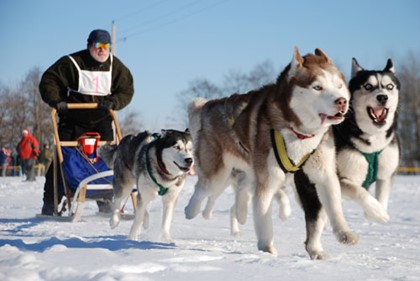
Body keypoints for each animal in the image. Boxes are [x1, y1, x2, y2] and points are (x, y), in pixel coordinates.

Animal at [184, 46, 358, 258]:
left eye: (339, 86)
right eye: (317, 87)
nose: (342, 101)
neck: (300, 133)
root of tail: (208, 105)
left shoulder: (322, 173)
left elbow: (331, 206)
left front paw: (342, 234)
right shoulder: (268, 179)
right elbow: (264, 216)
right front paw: (267, 249)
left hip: (250, 170)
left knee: (242, 189)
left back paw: (241, 213)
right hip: (219, 174)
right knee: (202, 189)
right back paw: (191, 210)